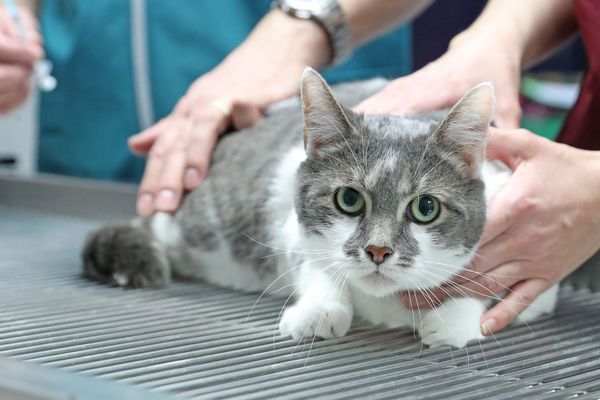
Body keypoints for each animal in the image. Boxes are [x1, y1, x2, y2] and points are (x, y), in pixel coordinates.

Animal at [81, 68, 556, 346]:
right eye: (349, 200)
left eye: (425, 208)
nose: (378, 251)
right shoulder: (291, 229)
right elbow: (318, 266)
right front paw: (319, 311)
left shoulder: (536, 280)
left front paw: (453, 320)